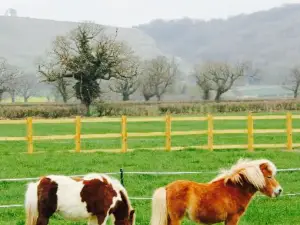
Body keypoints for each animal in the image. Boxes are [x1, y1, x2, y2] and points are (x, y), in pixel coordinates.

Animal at [151, 158, 282, 225]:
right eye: (269, 176)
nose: (279, 191)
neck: (234, 190)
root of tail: (167, 188)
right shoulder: (232, 218)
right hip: (176, 218)